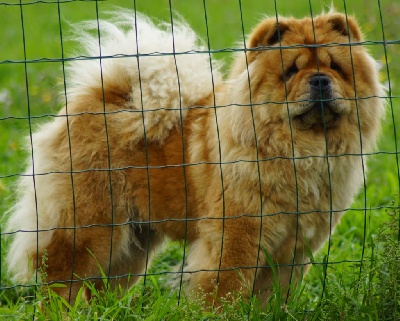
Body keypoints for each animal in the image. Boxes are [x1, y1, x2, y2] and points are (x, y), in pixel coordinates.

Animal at [6, 10, 386, 304]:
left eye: (336, 68)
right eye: (291, 71)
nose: (320, 80)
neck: (301, 152)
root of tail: (100, 97)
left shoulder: (293, 249)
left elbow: (274, 298)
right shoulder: (237, 236)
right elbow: (226, 290)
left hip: (133, 244)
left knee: (101, 288)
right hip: (89, 228)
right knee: (61, 282)